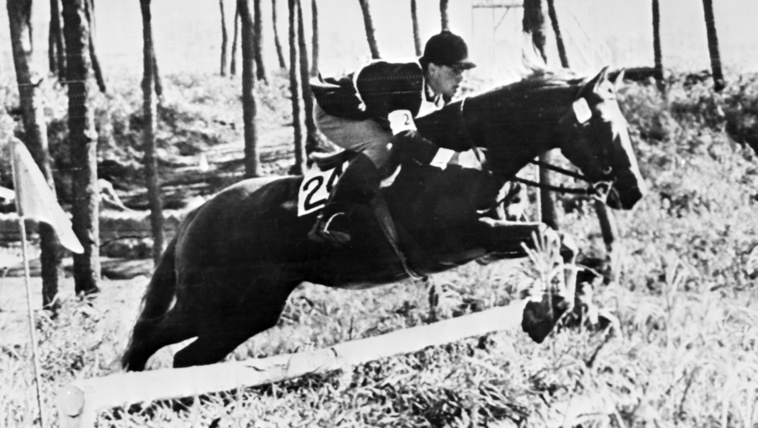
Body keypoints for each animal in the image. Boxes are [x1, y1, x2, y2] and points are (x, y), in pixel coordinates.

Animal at [122, 67, 645, 371]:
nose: (633, 190)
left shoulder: (486, 244)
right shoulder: (464, 237)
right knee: (148, 339)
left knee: (189, 358)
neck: (474, 159)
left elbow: (561, 243)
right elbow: (552, 237)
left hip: (250, 309)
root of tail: (196, 215)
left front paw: (562, 312)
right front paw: (547, 314)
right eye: (600, 126)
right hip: (211, 301)